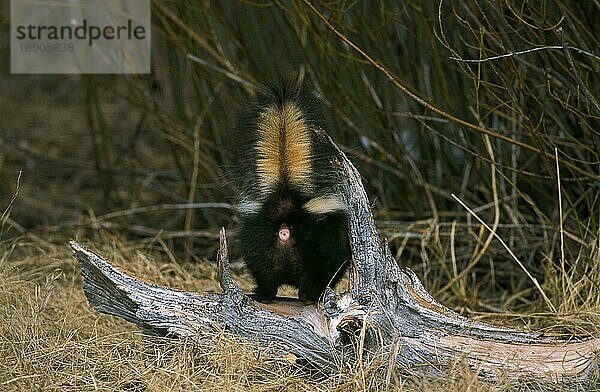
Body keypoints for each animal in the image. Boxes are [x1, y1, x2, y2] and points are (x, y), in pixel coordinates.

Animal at [231, 82, 352, 304]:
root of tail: (286, 201)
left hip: (258, 239)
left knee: (264, 271)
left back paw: (263, 295)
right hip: (316, 246)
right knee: (314, 272)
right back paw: (310, 296)